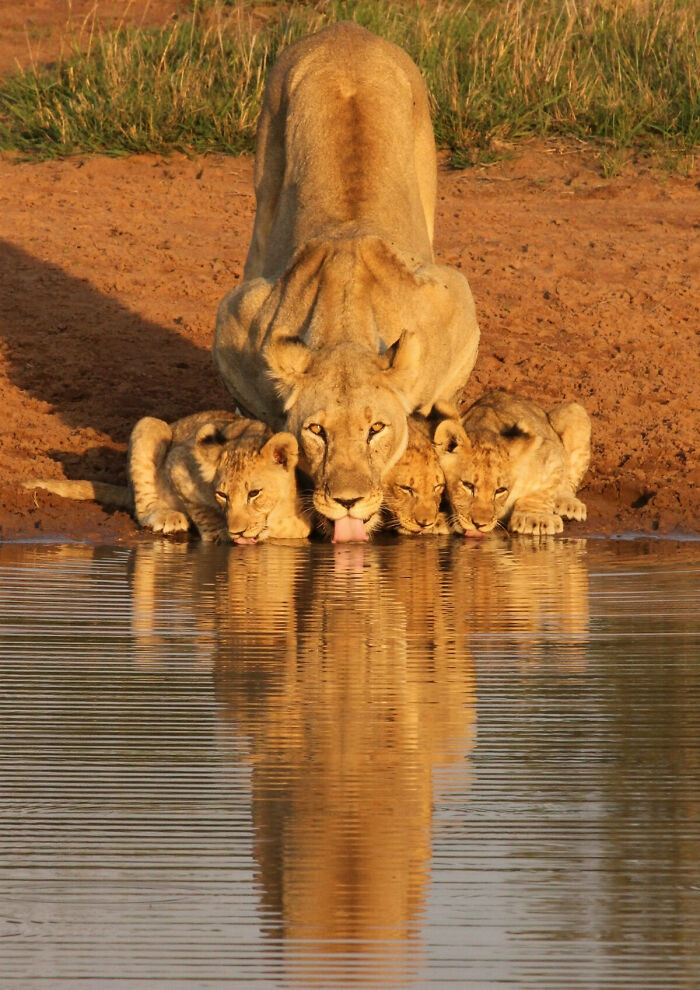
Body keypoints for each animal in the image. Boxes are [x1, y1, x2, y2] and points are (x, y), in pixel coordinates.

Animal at [24, 411, 310, 544]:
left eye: (254, 493)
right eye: (222, 494)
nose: (236, 530)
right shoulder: (179, 465)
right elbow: (203, 513)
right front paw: (219, 533)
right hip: (150, 425)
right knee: (143, 506)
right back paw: (167, 517)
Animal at [213, 22, 480, 543]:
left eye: (376, 429)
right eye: (317, 431)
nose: (349, 501)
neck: (344, 325)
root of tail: (345, 29)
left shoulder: (455, 302)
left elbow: (446, 404)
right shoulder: (237, 317)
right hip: (263, 196)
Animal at [434, 390, 591, 536]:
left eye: (500, 490)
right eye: (468, 485)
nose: (479, 524)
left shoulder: (548, 452)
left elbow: (544, 490)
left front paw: (535, 518)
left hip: (575, 410)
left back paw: (568, 504)